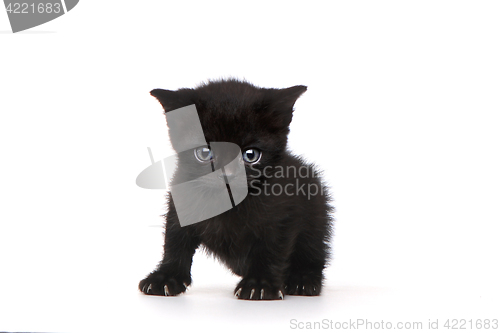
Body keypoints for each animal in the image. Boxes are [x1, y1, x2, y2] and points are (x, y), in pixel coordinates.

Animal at [138, 79, 332, 300]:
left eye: (250, 155)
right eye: (205, 153)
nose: (227, 174)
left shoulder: (283, 214)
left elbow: (271, 248)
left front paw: (260, 283)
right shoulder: (180, 201)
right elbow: (175, 241)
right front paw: (165, 277)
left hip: (317, 215)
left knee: (313, 253)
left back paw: (303, 279)